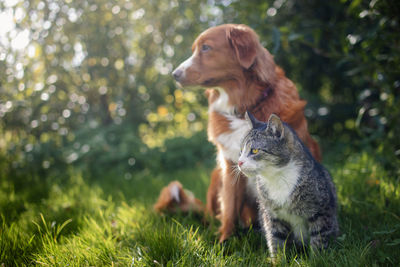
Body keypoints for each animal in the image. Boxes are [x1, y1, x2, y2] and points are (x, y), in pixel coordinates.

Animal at [164, 24, 320, 244]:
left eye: (206, 48)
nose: (174, 74)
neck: (244, 108)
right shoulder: (230, 166)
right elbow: (229, 208)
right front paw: (224, 241)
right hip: (216, 176)